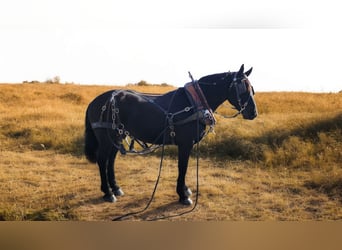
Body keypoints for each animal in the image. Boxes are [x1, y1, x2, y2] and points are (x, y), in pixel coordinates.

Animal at [85, 64, 256, 205]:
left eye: (252, 88)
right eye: (242, 88)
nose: (253, 113)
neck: (194, 102)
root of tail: (95, 101)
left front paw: (185, 190)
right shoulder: (185, 144)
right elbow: (183, 167)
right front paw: (183, 195)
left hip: (117, 136)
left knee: (111, 160)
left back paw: (115, 188)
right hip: (106, 138)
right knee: (102, 160)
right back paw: (108, 193)